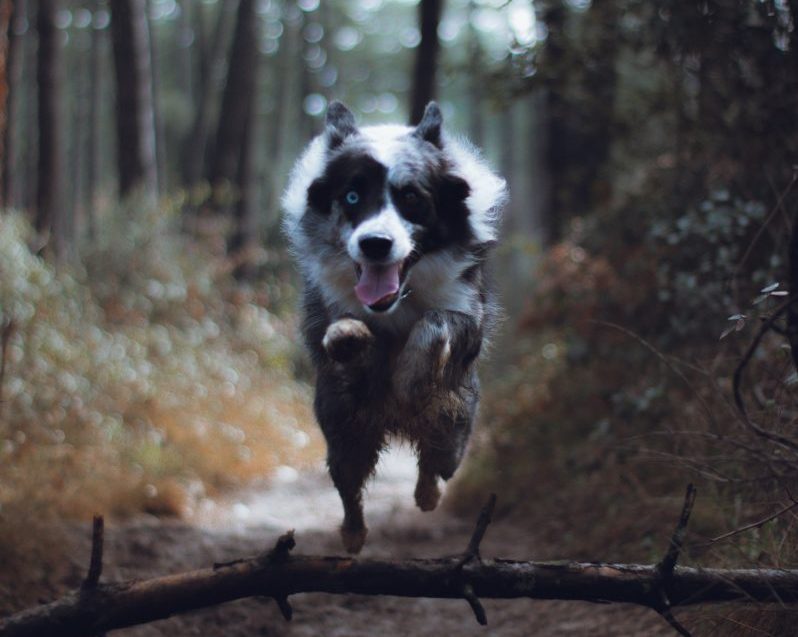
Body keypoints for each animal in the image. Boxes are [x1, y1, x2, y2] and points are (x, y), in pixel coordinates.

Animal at [282, 99, 506, 552]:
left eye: (412, 198)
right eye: (351, 196)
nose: (375, 244)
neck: (396, 301)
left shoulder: (466, 314)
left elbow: (436, 322)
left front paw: (410, 378)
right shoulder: (330, 325)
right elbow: (344, 336)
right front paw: (349, 337)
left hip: (454, 423)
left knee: (436, 466)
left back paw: (426, 495)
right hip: (342, 427)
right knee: (349, 487)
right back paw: (352, 535)